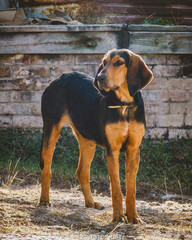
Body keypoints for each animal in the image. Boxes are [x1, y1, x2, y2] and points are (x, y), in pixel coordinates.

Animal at [39, 47, 153, 224]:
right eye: (104, 62)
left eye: (119, 62)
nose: (100, 78)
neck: (124, 105)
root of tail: (59, 77)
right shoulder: (112, 150)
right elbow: (116, 188)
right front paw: (118, 216)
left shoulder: (134, 150)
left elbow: (131, 190)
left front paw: (133, 217)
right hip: (51, 130)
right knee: (47, 168)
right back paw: (44, 200)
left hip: (87, 140)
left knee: (82, 171)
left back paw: (91, 202)